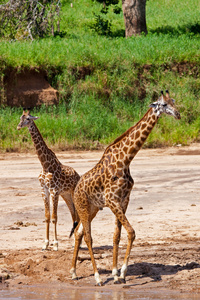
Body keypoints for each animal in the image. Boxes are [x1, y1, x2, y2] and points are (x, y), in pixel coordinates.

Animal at [17, 109, 79, 250]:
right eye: (20, 117)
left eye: (28, 119)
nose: (18, 126)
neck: (45, 165)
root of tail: (78, 175)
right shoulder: (44, 190)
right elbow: (46, 216)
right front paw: (45, 244)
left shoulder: (54, 191)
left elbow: (54, 217)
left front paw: (55, 244)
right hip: (66, 195)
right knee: (74, 215)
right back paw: (76, 241)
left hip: (73, 193)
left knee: (78, 215)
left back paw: (77, 241)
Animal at [70, 90, 181, 284]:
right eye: (164, 104)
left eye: (173, 101)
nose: (178, 114)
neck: (126, 160)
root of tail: (76, 189)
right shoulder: (112, 199)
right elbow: (131, 232)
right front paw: (122, 272)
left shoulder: (123, 199)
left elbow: (117, 235)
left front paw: (116, 273)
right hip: (82, 206)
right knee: (88, 237)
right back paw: (97, 277)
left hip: (92, 209)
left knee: (78, 233)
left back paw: (74, 272)